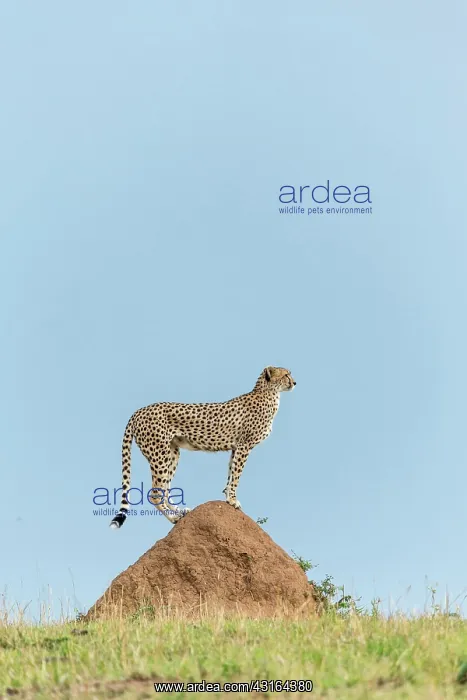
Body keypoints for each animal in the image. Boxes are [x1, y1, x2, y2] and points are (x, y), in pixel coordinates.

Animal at [110, 366, 296, 529]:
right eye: (286, 374)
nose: (295, 382)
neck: (268, 393)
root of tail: (138, 411)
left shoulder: (235, 447)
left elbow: (231, 472)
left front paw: (227, 496)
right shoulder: (244, 445)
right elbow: (237, 475)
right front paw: (233, 500)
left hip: (172, 453)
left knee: (166, 489)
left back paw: (180, 511)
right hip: (159, 454)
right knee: (155, 493)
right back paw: (173, 518)